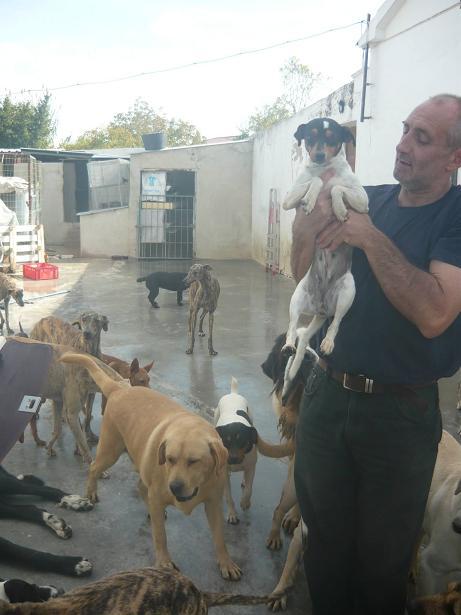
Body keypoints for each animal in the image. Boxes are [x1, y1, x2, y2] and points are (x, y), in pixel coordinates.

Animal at [58, 352, 241, 584]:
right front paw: (164, 562)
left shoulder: (213, 504)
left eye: (194, 461)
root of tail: (120, 388)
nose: (174, 487)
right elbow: (160, 536)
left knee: (141, 487)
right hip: (111, 451)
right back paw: (91, 492)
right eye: (170, 459)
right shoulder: (160, 493)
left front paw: (226, 562)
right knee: (93, 467)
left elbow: (219, 538)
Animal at [214, 378, 256, 528]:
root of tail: (233, 393)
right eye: (225, 442)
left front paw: (245, 502)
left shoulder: (251, 466)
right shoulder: (224, 473)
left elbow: (249, 489)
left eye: (242, 441)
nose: (232, 459)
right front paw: (232, 514)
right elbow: (228, 496)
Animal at [280, 118, 366, 398]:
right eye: (311, 136)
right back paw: (288, 345)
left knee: (335, 323)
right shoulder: (288, 200)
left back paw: (328, 342)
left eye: (331, 138)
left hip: (348, 292)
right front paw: (310, 198)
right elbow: (315, 183)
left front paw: (338, 208)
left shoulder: (363, 201)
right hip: (297, 299)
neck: (324, 168)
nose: (318, 155)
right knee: (293, 327)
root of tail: (320, 308)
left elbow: (337, 186)